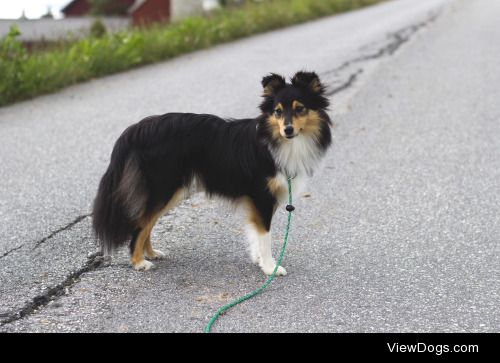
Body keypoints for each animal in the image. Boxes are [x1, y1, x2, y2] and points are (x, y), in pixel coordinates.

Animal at [93, 71, 332, 276]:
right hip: (164, 186)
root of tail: (137, 129)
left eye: (300, 108)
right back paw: (138, 262)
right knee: (140, 224)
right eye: (278, 111)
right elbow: (265, 235)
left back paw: (150, 254)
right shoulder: (261, 196)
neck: (276, 141)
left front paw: (258, 260)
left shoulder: (259, 201)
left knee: (147, 223)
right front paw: (270, 267)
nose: (287, 130)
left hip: (172, 190)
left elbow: (256, 233)